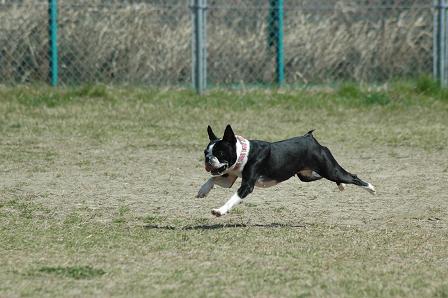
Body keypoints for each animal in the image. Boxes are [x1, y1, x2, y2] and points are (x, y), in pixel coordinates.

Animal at [198, 125, 376, 217]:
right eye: (206, 152)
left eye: (220, 153)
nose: (208, 159)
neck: (244, 153)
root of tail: (310, 138)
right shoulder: (229, 178)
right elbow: (212, 179)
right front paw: (202, 191)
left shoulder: (247, 186)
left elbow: (232, 198)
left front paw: (220, 210)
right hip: (306, 175)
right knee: (323, 177)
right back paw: (341, 186)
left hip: (330, 170)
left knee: (352, 177)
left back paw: (371, 189)